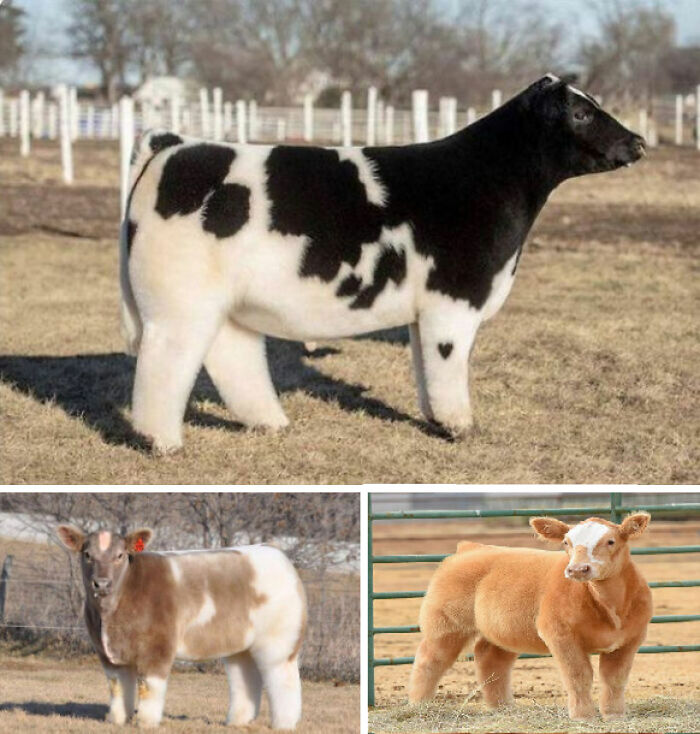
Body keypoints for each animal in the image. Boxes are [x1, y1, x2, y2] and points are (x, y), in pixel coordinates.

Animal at [57, 525, 307, 729]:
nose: (101, 583)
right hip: (241, 645)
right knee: (244, 678)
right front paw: (117, 720)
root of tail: (276, 553)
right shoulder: (107, 653)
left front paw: (146, 722)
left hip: (279, 642)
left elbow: (149, 687)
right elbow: (117, 687)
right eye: (87, 554)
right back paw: (237, 721)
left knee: (283, 680)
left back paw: (284, 723)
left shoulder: (158, 647)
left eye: (120, 555)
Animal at [119, 74, 646, 452]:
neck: (484, 180)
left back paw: (270, 423)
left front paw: (435, 420)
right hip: (179, 302)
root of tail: (175, 144)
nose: (638, 142)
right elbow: (449, 366)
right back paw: (162, 441)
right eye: (580, 112)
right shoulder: (454, 300)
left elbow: (425, 368)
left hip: (224, 304)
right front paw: (460, 427)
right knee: (166, 362)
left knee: (232, 356)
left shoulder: (425, 311)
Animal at [408, 512, 653, 720]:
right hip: (446, 624)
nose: (577, 569)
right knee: (429, 660)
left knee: (491, 659)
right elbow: (578, 675)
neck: (609, 607)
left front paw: (614, 715)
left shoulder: (631, 639)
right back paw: (419, 705)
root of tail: (471, 548)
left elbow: (615, 678)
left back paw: (503, 707)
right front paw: (584, 716)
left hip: (503, 631)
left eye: (610, 541)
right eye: (566, 543)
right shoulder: (560, 634)